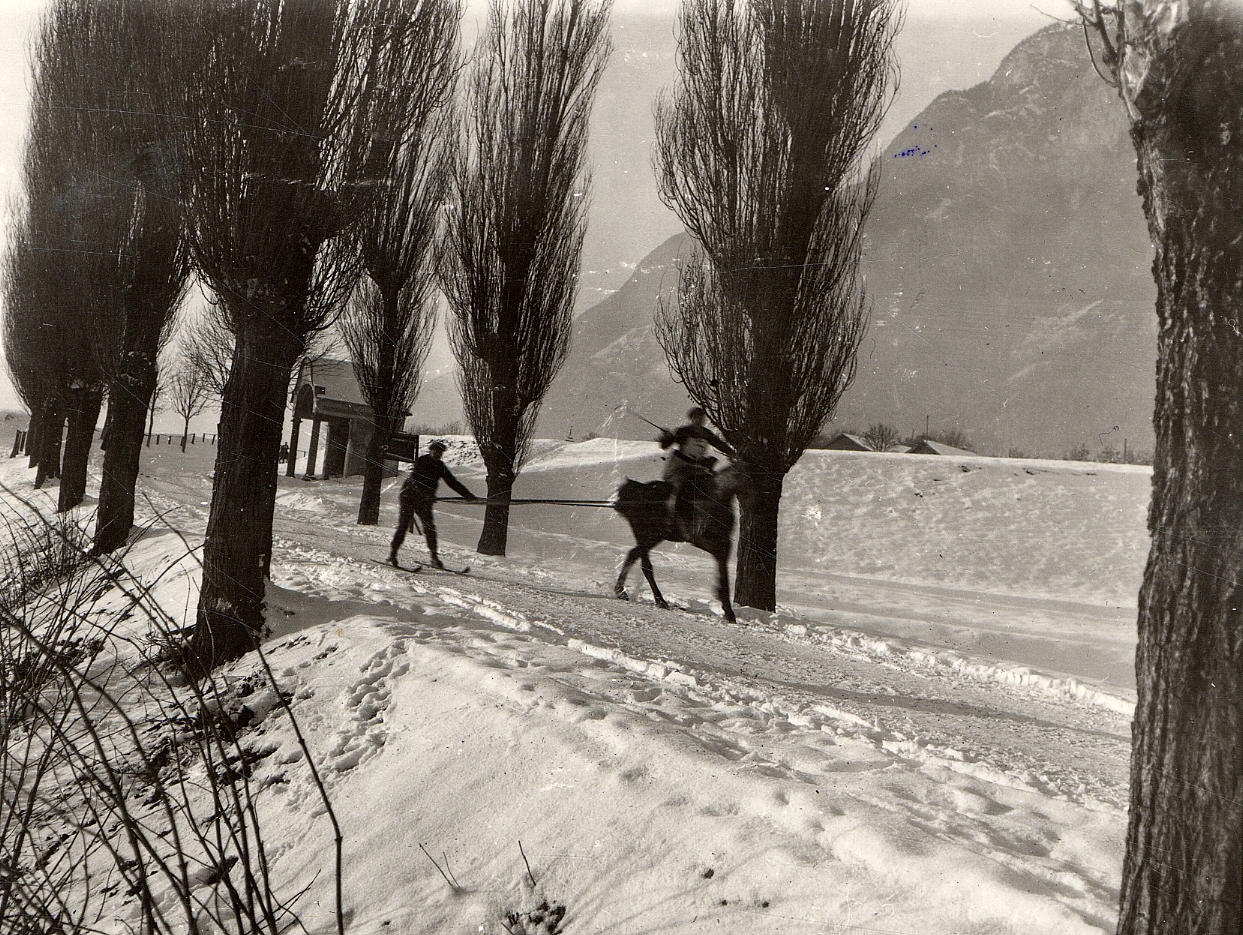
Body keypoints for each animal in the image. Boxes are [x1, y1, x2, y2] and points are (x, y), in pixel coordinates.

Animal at [612, 461, 751, 623]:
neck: (715, 498)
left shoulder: (724, 542)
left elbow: (723, 570)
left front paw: (727, 609)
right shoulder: (704, 541)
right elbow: (721, 568)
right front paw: (726, 607)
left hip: (655, 537)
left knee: (633, 554)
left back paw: (621, 591)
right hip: (643, 533)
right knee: (645, 565)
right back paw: (659, 600)